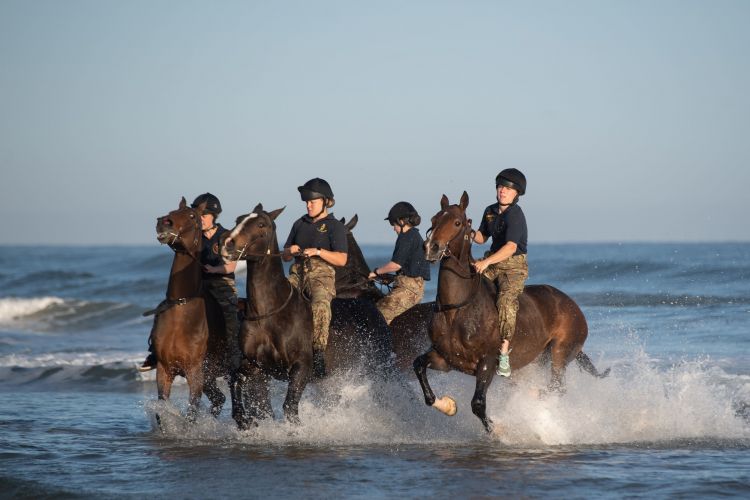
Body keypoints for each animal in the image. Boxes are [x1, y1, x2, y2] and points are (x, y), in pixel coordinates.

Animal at [220, 204, 393, 428]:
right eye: (238, 219)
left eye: (261, 224)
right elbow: (235, 380)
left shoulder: (301, 368)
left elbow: (290, 407)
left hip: (380, 371)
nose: (227, 244)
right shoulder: (256, 365)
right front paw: (244, 421)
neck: (270, 314)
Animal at [413, 191, 609, 433]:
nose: (430, 247)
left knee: (557, 387)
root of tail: (574, 306)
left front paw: (498, 431)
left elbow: (478, 404)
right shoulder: (445, 359)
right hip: (538, 361)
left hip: (560, 353)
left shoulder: (487, 363)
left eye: (457, 223)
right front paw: (448, 405)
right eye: (433, 219)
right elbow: (419, 369)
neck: (457, 310)